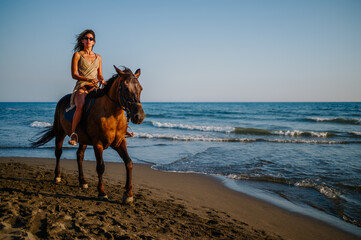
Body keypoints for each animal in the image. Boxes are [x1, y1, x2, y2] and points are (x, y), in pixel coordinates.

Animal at [32, 66, 145, 203]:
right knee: (58, 152)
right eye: (125, 87)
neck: (112, 115)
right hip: (60, 132)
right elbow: (100, 167)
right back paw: (57, 176)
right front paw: (102, 193)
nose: (139, 116)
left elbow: (129, 163)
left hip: (83, 139)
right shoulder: (98, 144)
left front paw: (128, 194)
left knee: (79, 155)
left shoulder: (119, 142)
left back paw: (83, 181)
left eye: (140, 88)